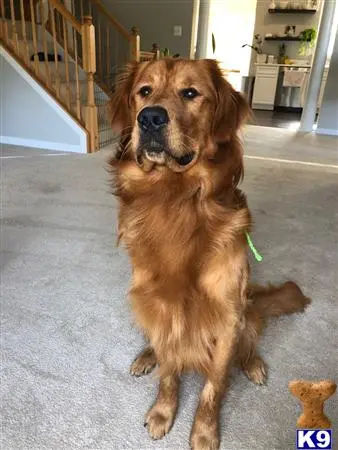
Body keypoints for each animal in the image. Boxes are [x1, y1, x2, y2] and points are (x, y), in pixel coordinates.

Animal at [109, 59, 310, 450]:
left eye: (191, 93)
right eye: (144, 91)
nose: (149, 118)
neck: (175, 199)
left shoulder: (227, 318)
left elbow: (213, 386)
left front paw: (204, 432)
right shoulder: (163, 308)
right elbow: (169, 373)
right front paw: (163, 412)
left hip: (245, 312)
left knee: (250, 339)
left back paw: (252, 363)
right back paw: (146, 355)